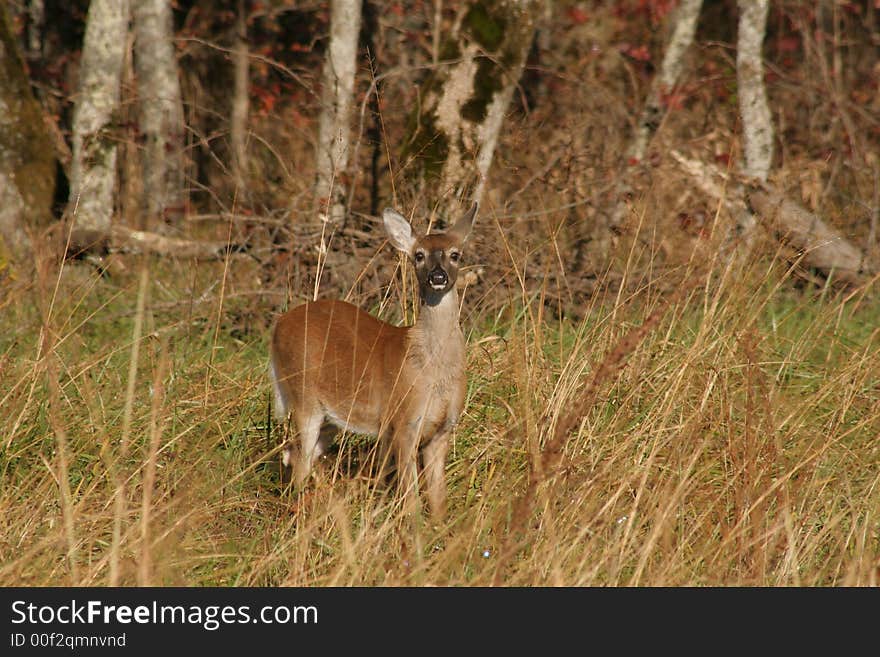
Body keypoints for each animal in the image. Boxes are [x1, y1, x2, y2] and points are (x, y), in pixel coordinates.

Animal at [272, 200, 478, 516]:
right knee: (300, 461)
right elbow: (412, 498)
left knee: (296, 455)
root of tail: (278, 325)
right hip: (303, 395)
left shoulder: (443, 430)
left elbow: (438, 498)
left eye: (455, 254)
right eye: (418, 255)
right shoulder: (403, 422)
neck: (431, 371)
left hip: (331, 416)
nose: (438, 277)